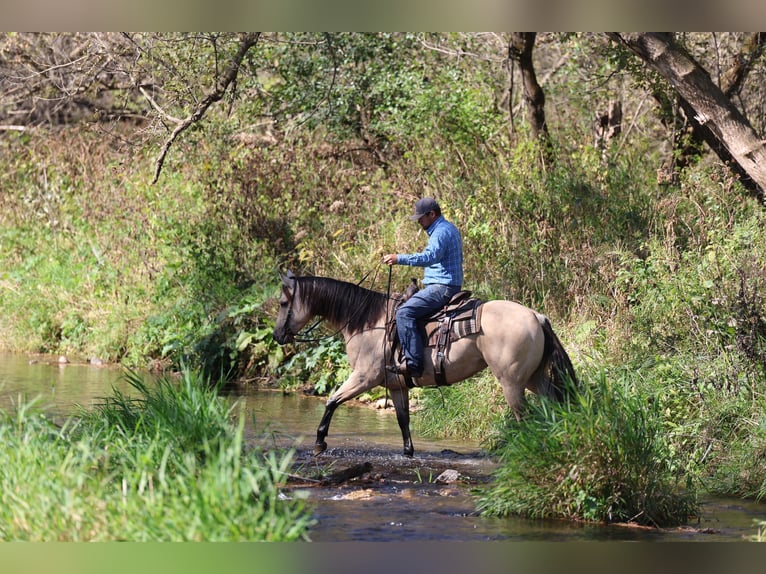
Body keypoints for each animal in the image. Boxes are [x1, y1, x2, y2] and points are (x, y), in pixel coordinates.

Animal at [272, 272, 578, 457]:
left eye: (284, 302)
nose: (277, 336)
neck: (368, 322)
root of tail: (536, 316)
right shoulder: (395, 384)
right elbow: (403, 418)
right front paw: (408, 451)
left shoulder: (364, 377)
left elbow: (331, 401)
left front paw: (319, 442)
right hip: (534, 379)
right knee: (553, 405)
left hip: (512, 383)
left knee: (524, 417)